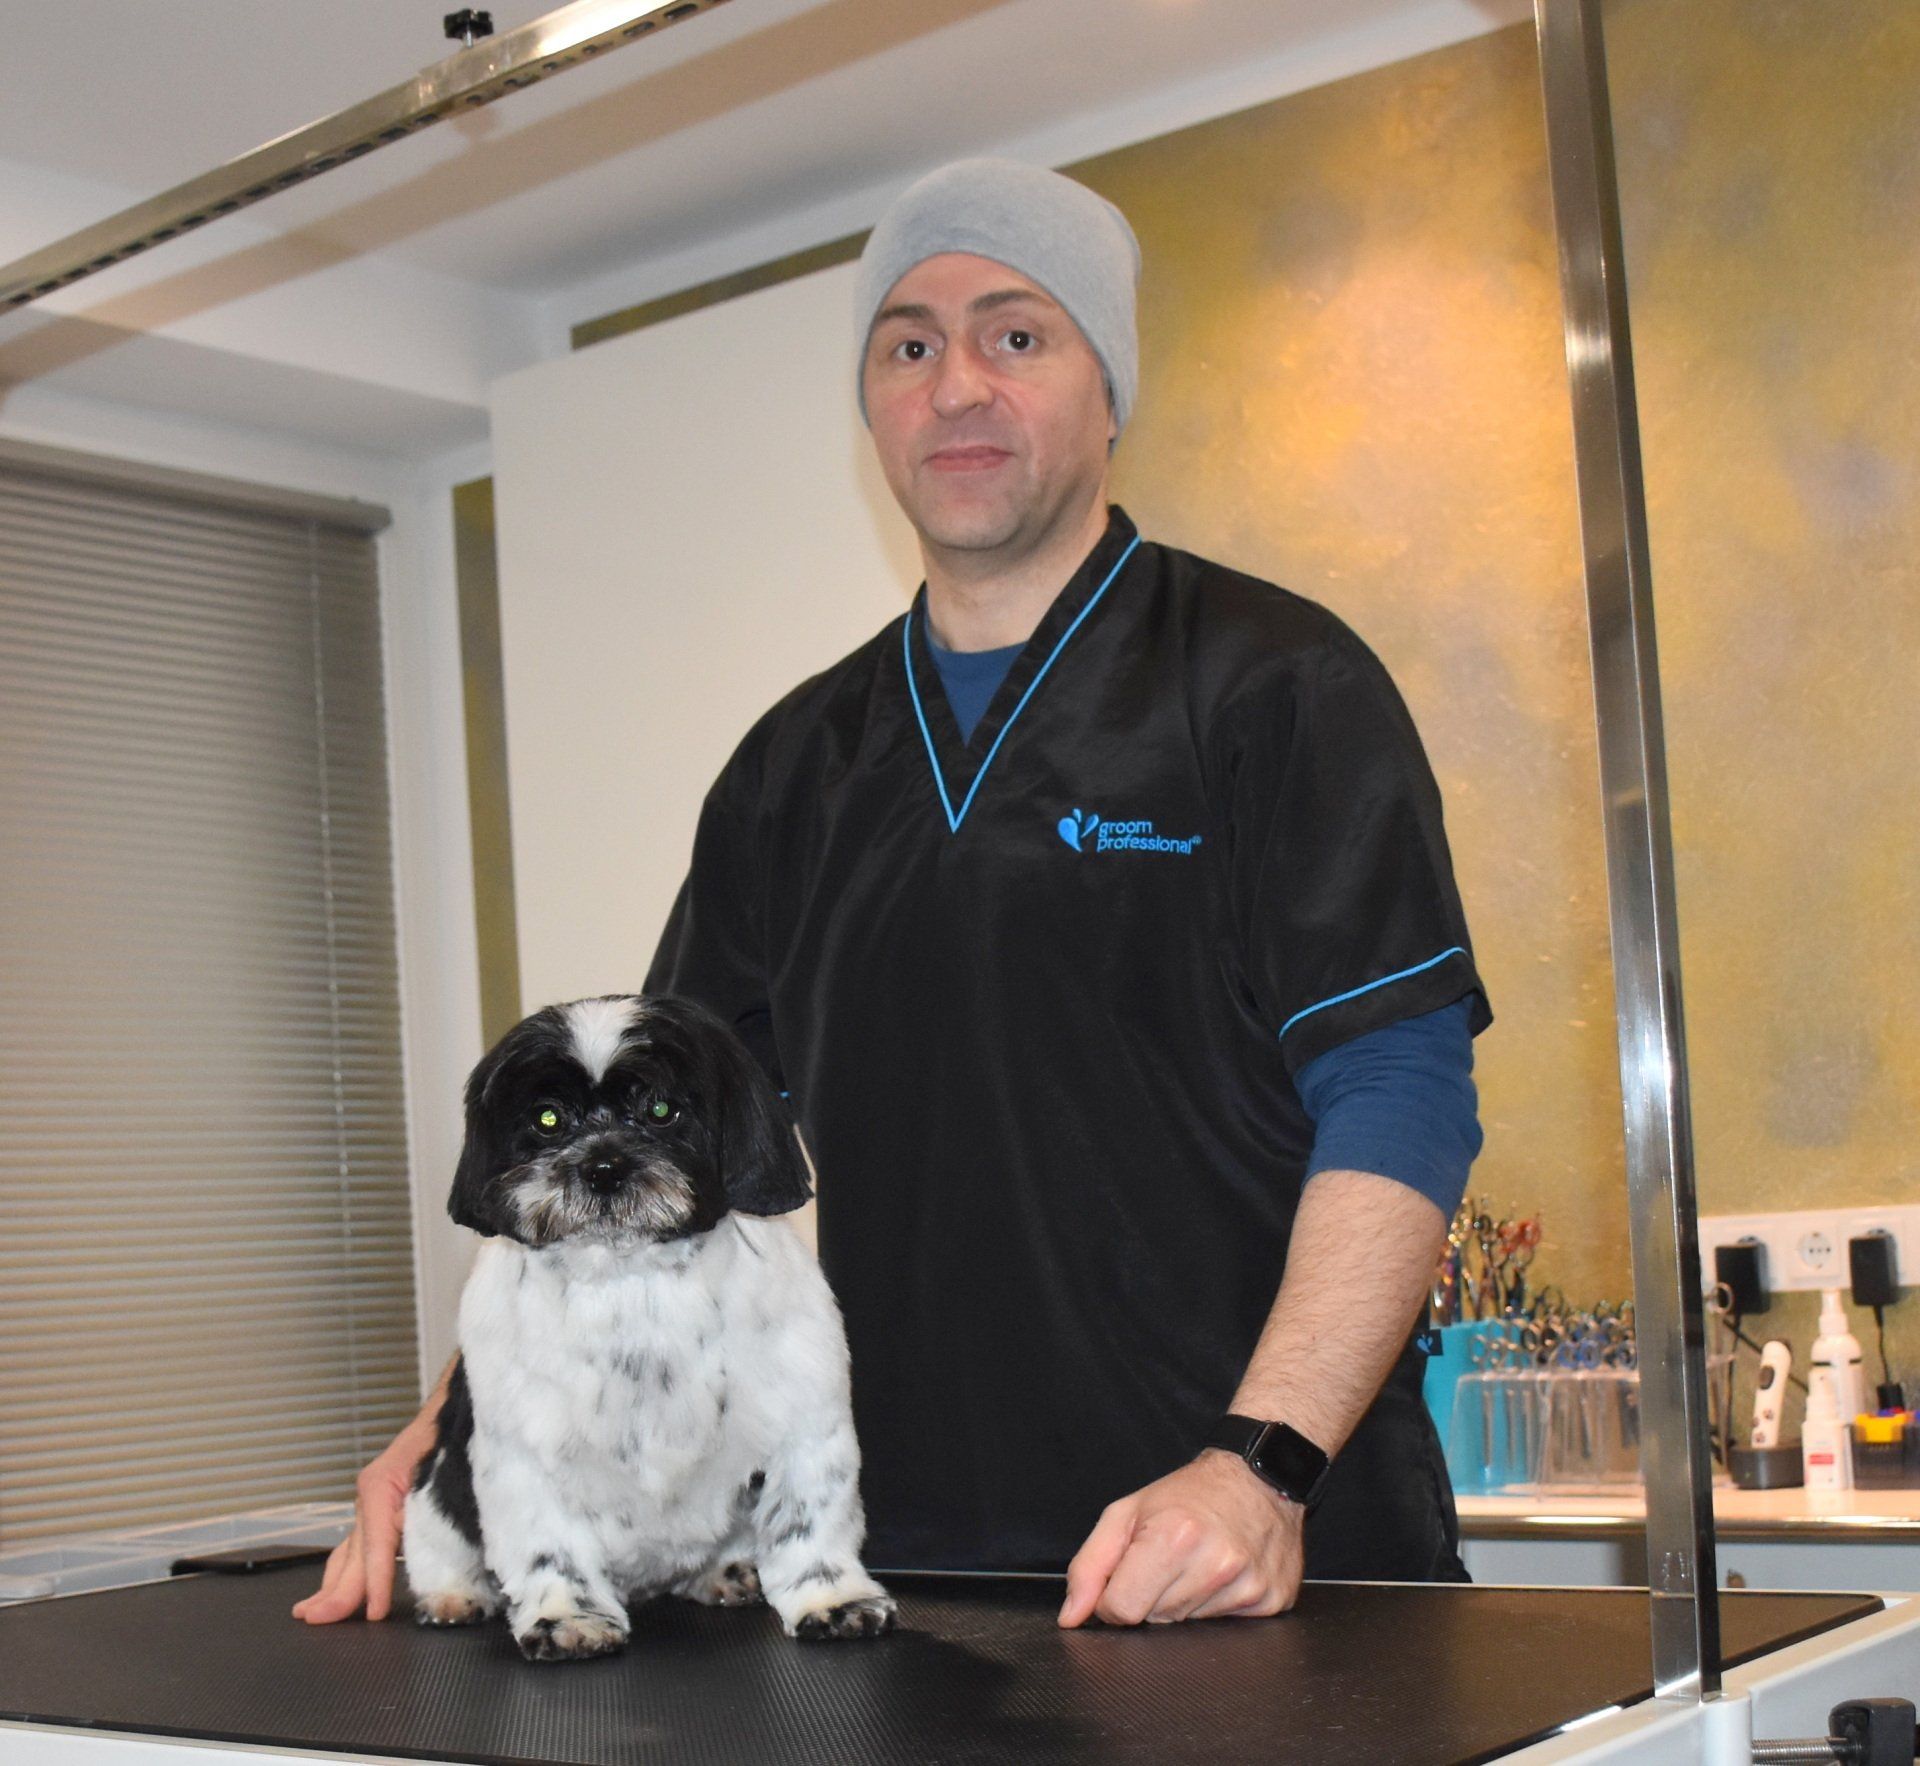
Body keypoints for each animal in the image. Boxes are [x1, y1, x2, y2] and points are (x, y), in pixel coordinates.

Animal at [401, 992, 896, 1660]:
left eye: (662, 1109)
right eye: (548, 1119)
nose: (604, 1166)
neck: (632, 1283)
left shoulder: (805, 1424)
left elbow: (809, 1524)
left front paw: (833, 1599)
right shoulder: (521, 1457)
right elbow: (549, 1548)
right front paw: (568, 1616)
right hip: (435, 1488)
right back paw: (454, 1595)